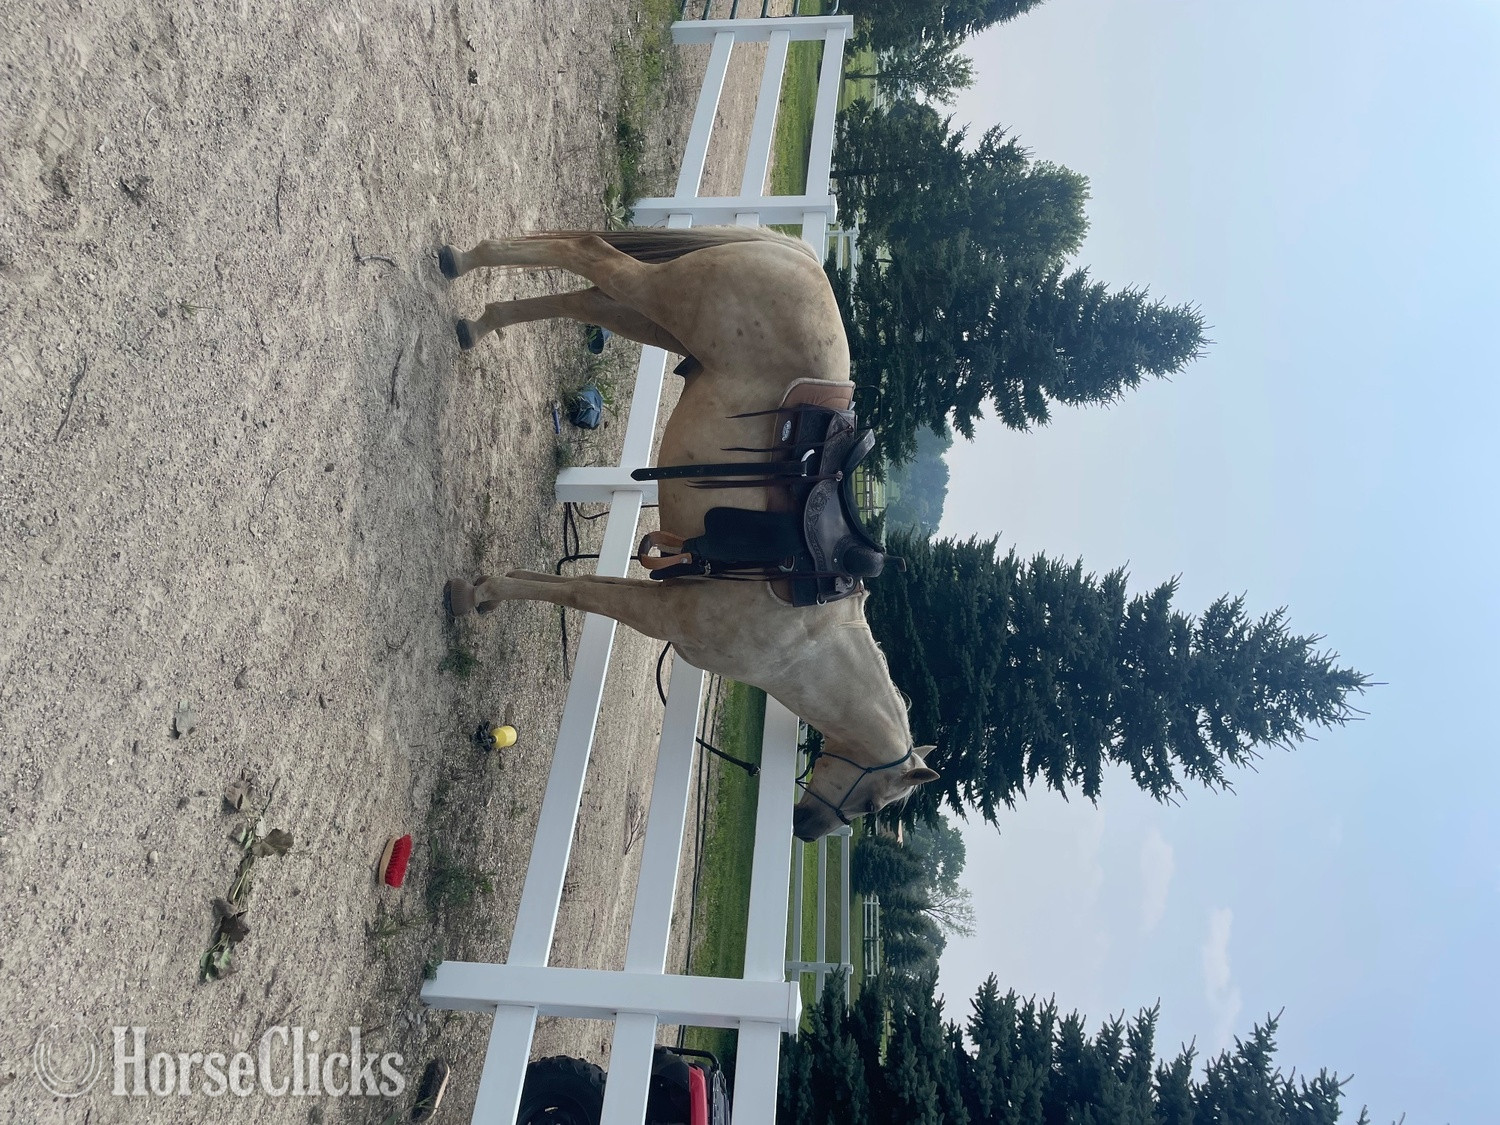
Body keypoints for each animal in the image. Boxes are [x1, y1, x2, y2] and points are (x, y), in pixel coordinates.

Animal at [437, 226, 938, 841]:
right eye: (874, 804)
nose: (806, 828)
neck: (802, 646)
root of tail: (799, 254)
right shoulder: (662, 614)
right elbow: (577, 591)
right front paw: (477, 592)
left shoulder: (662, 593)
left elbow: (569, 586)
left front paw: (488, 587)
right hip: (660, 297)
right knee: (587, 252)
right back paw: (465, 264)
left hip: (649, 318)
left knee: (583, 298)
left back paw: (476, 316)